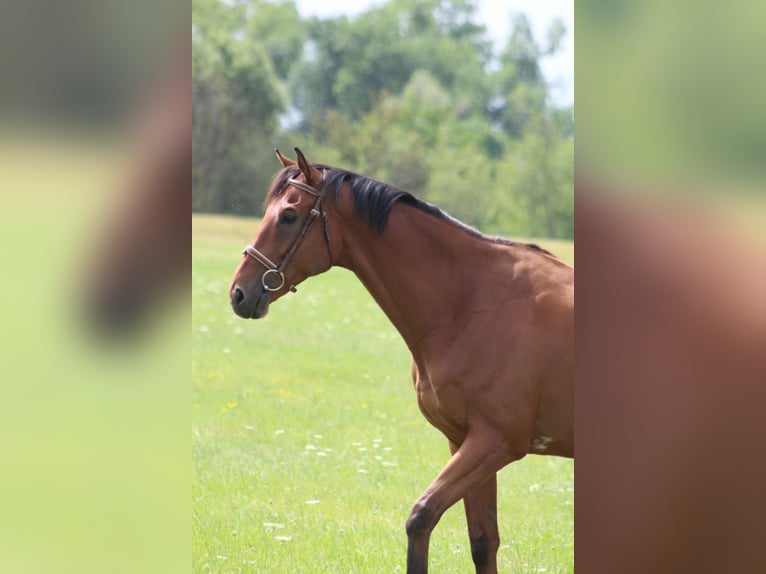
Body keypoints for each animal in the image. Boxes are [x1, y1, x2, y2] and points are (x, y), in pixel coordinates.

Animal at [228, 148, 573, 574]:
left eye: (288, 216)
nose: (239, 293)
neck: (473, 301)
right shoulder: (464, 441)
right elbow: (483, 541)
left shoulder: (496, 442)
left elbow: (421, 517)